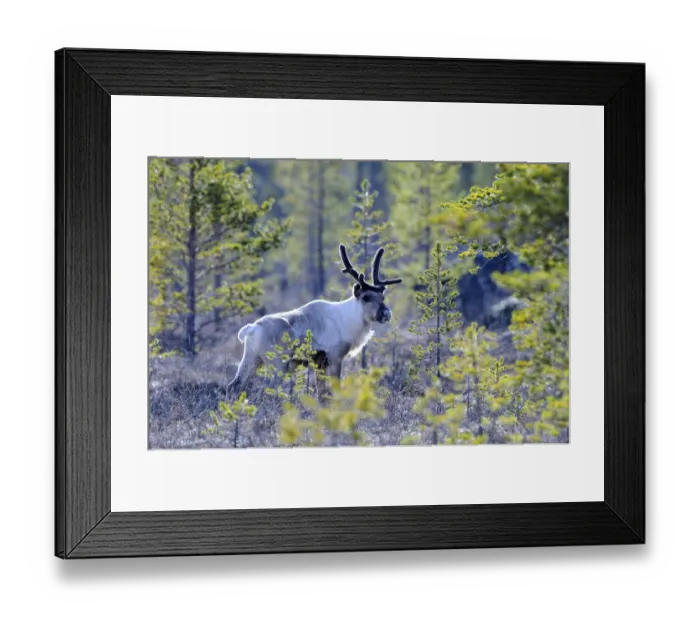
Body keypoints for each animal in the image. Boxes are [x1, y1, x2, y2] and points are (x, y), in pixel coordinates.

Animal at [226, 243, 402, 400]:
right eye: (366, 297)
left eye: (383, 297)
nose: (386, 313)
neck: (349, 321)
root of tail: (252, 328)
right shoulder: (334, 356)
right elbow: (333, 389)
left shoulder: (320, 362)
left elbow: (321, 391)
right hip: (277, 361)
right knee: (268, 389)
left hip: (251, 358)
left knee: (234, 385)